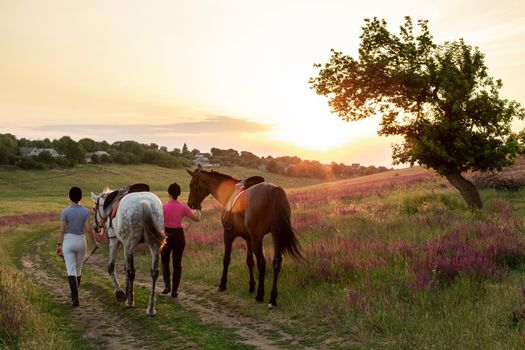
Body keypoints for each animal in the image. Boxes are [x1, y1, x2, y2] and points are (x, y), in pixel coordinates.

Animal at [185, 168, 300, 308]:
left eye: (191, 185)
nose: (190, 204)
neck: (229, 193)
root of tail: (274, 190)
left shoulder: (228, 234)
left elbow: (226, 259)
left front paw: (222, 284)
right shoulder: (248, 239)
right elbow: (249, 261)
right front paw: (251, 286)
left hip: (258, 238)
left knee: (262, 262)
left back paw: (260, 295)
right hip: (275, 235)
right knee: (276, 262)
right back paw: (272, 298)